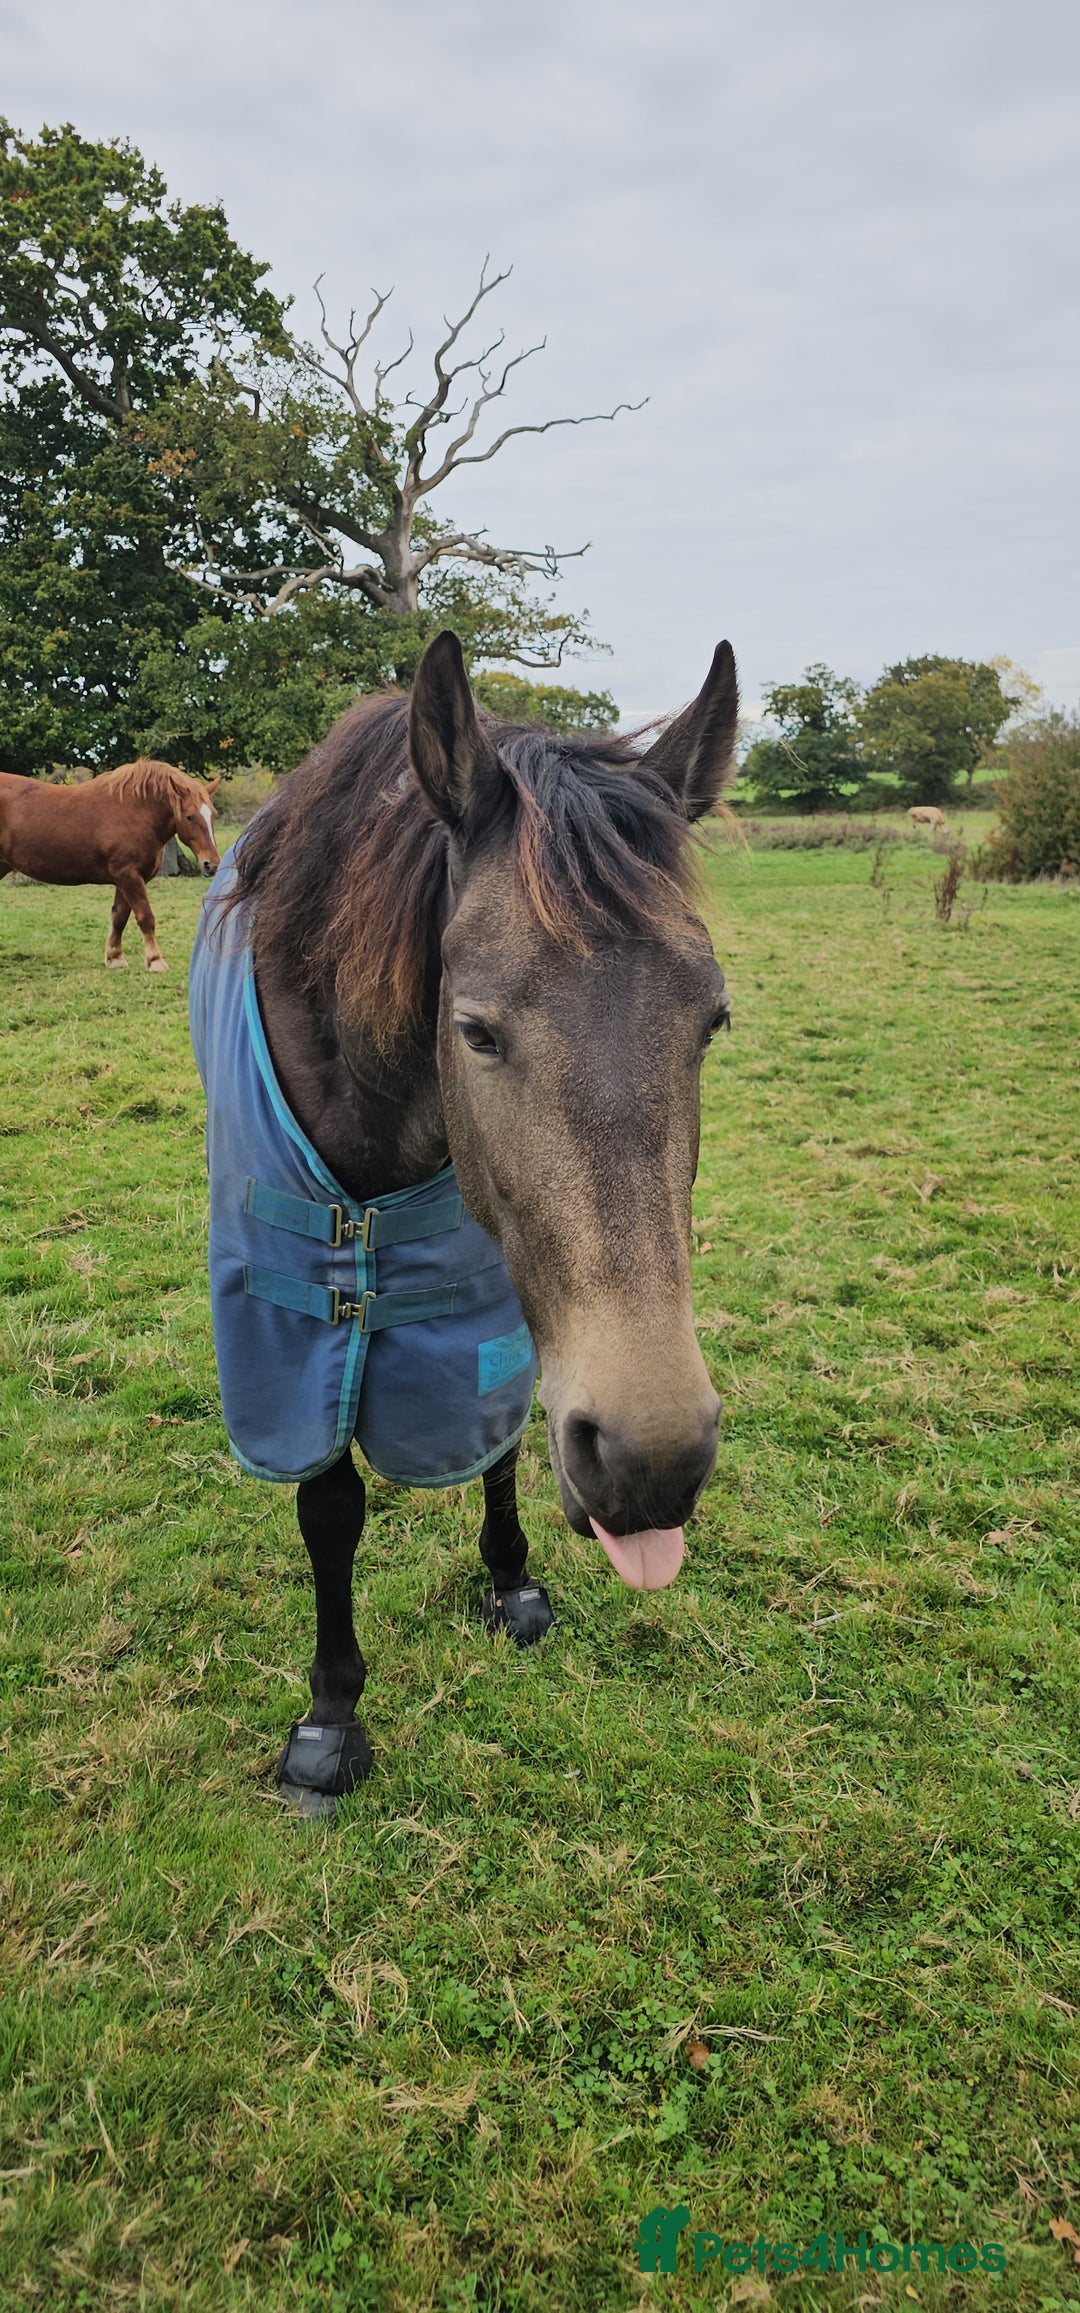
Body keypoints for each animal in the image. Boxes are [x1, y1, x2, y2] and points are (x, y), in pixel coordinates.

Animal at [0, 758, 221, 971]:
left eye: (214, 814)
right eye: (190, 817)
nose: (211, 864)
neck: (135, 809)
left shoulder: (124, 879)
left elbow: (119, 917)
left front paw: (115, 958)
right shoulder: (128, 875)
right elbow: (145, 917)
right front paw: (155, 961)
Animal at [189, 631, 738, 1816]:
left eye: (713, 1021)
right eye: (477, 1030)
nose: (654, 1461)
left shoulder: (483, 1278)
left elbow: (500, 1431)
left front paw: (511, 1581)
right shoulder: (307, 1312)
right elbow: (330, 1503)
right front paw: (330, 1717)